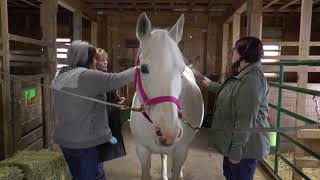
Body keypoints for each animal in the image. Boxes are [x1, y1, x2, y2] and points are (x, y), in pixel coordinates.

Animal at [131, 13, 204, 180]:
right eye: (143, 69)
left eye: (181, 70)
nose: (169, 133)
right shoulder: (142, 151)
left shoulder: (181, 152)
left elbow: (176, 169)